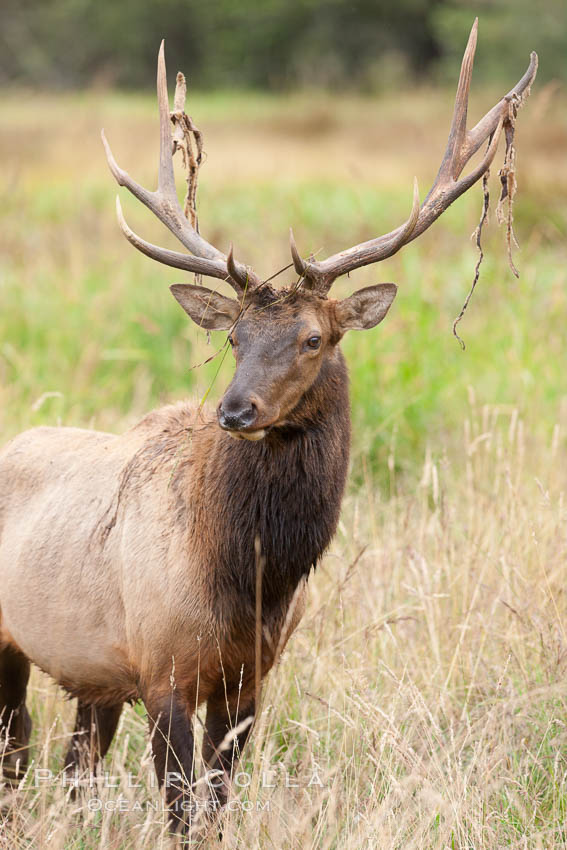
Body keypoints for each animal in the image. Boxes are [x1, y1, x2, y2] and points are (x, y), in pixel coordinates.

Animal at [0, 19, 536, 836]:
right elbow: (183, 814)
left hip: (92, 677)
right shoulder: (162, 668)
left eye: (314, 338)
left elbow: (218, 808)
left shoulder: (248, 679)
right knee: (17, 755)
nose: (235, 410)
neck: (247, 578)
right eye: (233, 337)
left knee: (71, 769)